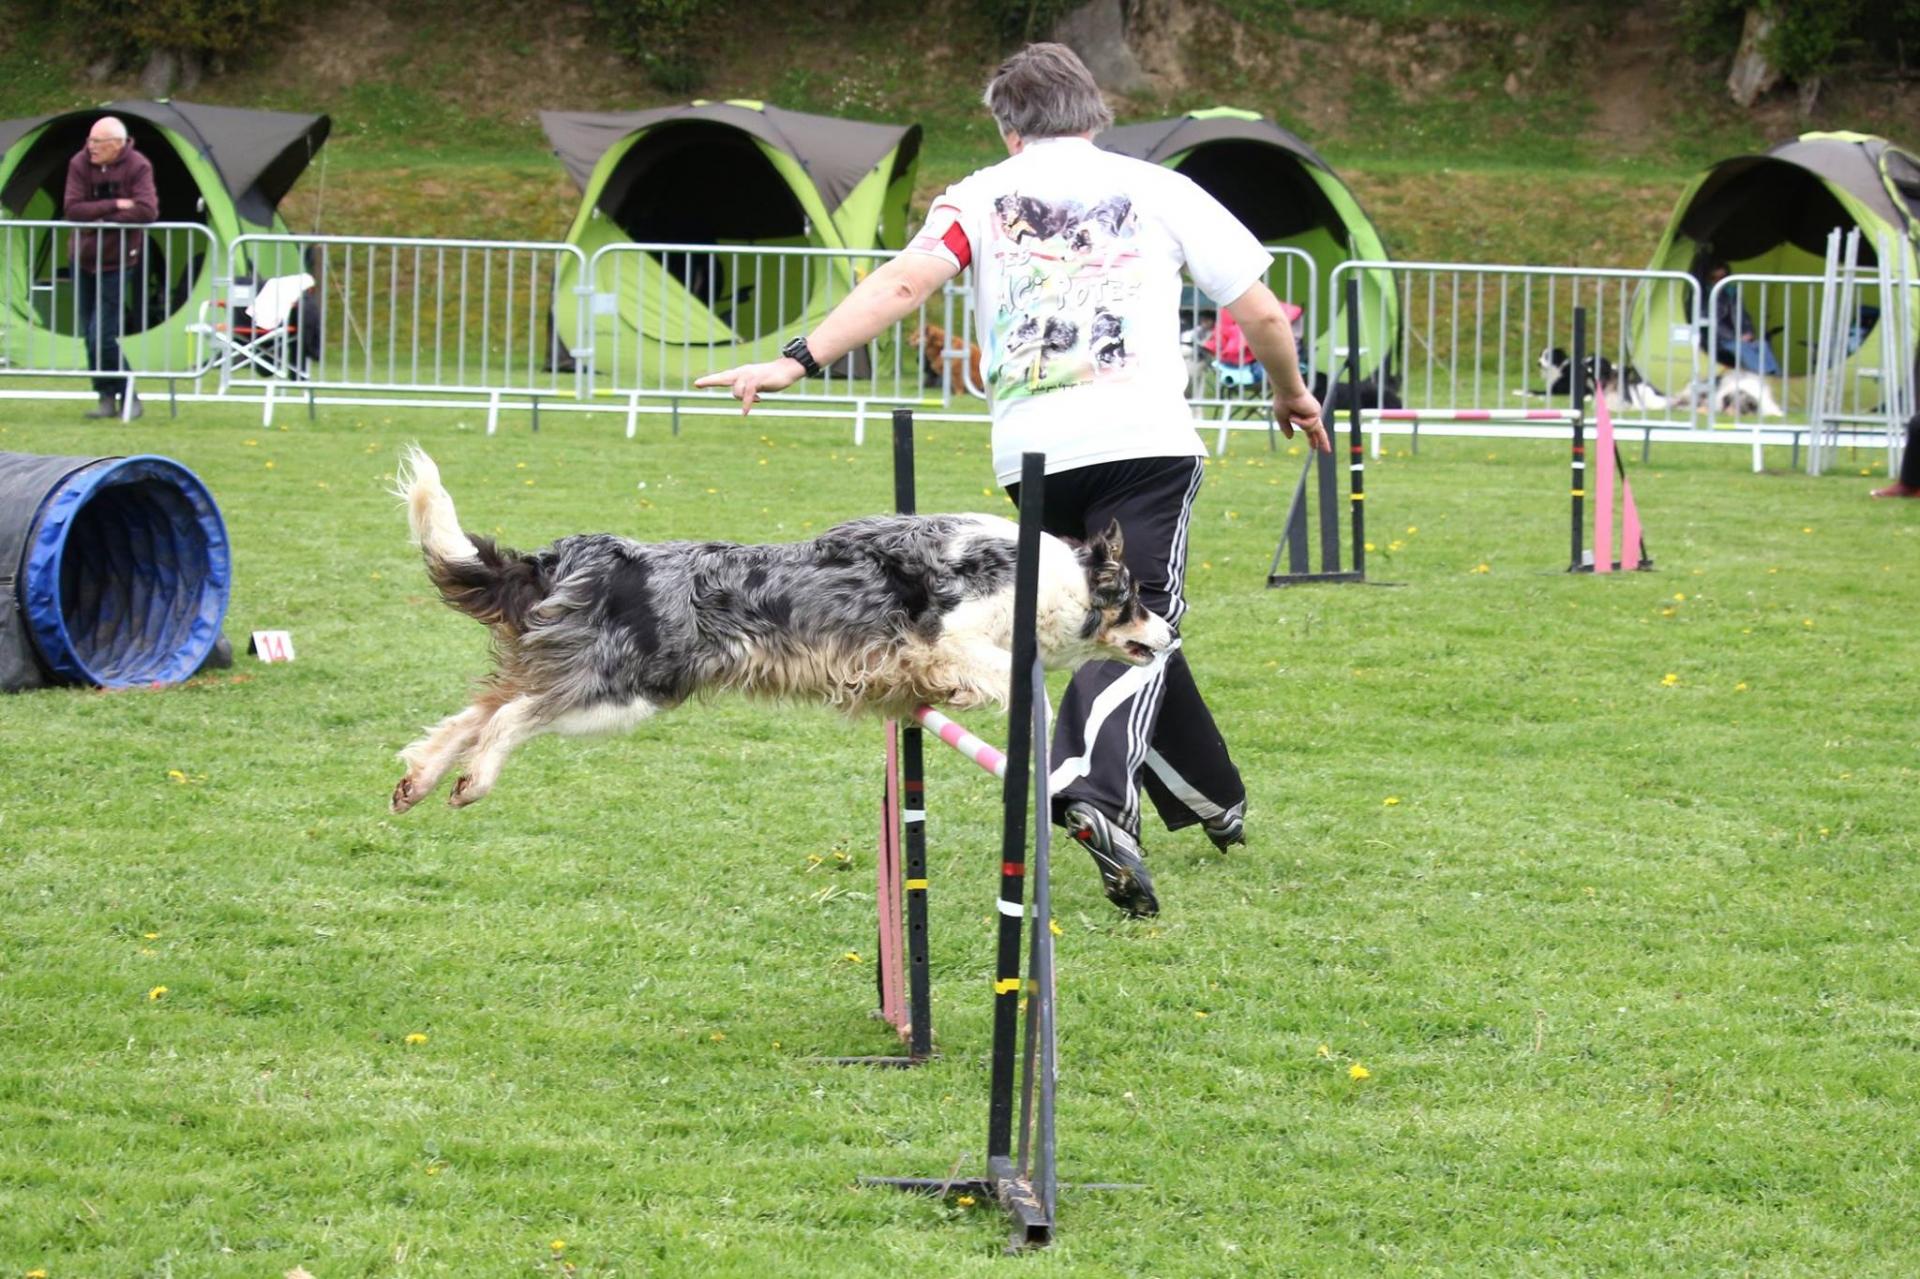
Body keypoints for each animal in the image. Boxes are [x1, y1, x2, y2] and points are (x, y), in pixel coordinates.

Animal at [389, 447, 1167, 806]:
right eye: (1135, 598)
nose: (1169, 633)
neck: (1054, 577)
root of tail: (577, 555)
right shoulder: (952, 635)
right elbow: (1013, 682)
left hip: (577, 668)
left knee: (472, 713)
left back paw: (419, 781)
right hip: (625, 686)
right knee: (508, 718)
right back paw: (473, 781)